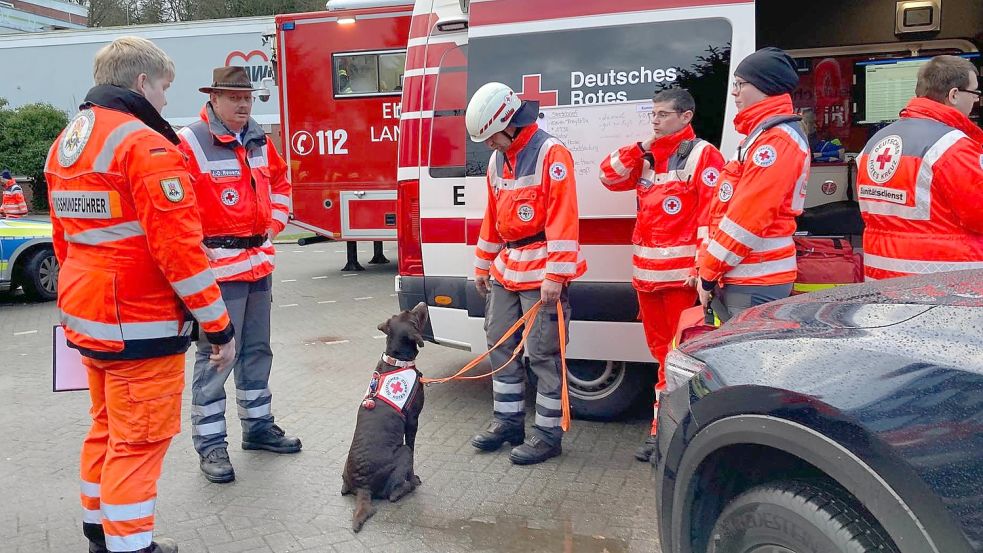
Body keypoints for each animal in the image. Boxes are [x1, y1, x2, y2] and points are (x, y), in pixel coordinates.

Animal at [342, 302, 426, 532]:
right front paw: (414, 476)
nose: (422, 303)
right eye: (413, 317)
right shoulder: (413, 421)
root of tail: (363, 487)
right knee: (394, 494)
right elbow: (413, 450)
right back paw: (410, 484)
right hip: (403, 452)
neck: (397, 361)